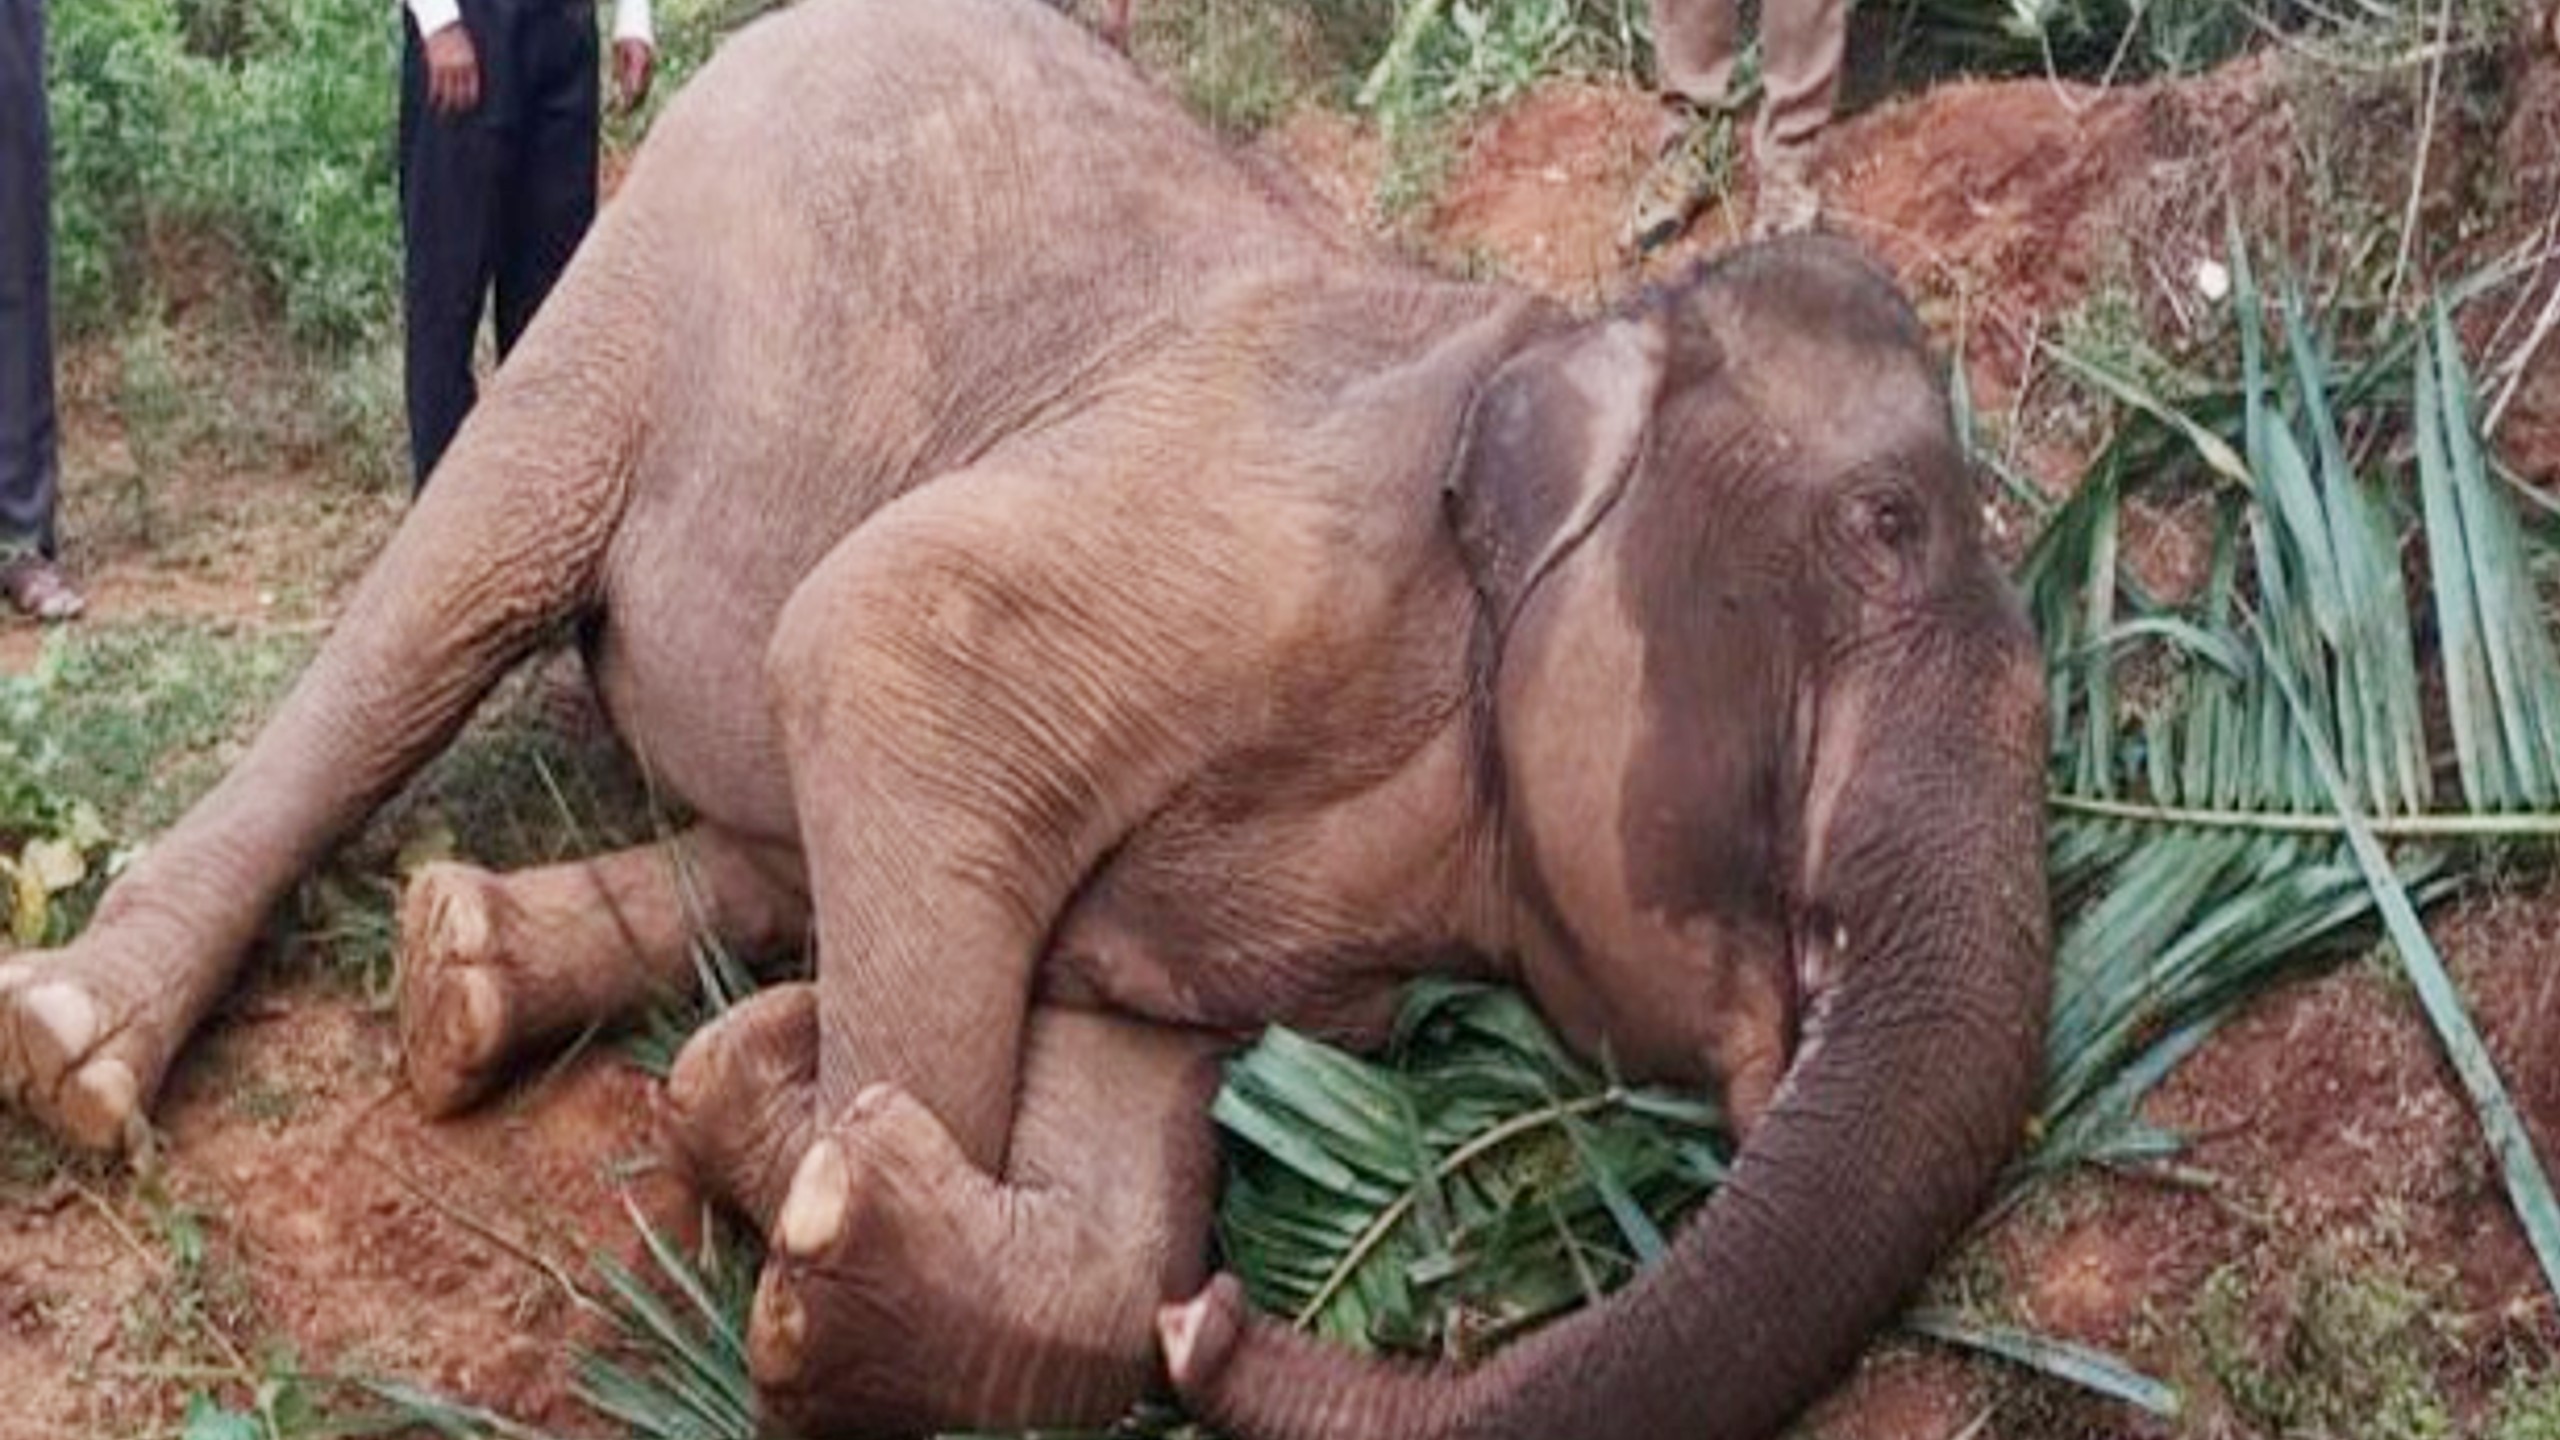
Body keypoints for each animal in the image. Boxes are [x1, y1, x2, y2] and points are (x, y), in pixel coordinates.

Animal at [0, 0, 2051, 1436]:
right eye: (1883, 527)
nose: (1239, 1322)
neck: (1558, 325)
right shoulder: (1263, 535)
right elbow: (884, 639)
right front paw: (818, 1206)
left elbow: (1124, 1134)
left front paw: (821, 1155)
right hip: (631, 288)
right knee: (453, 590)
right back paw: (79, 1054)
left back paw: (468, 975)